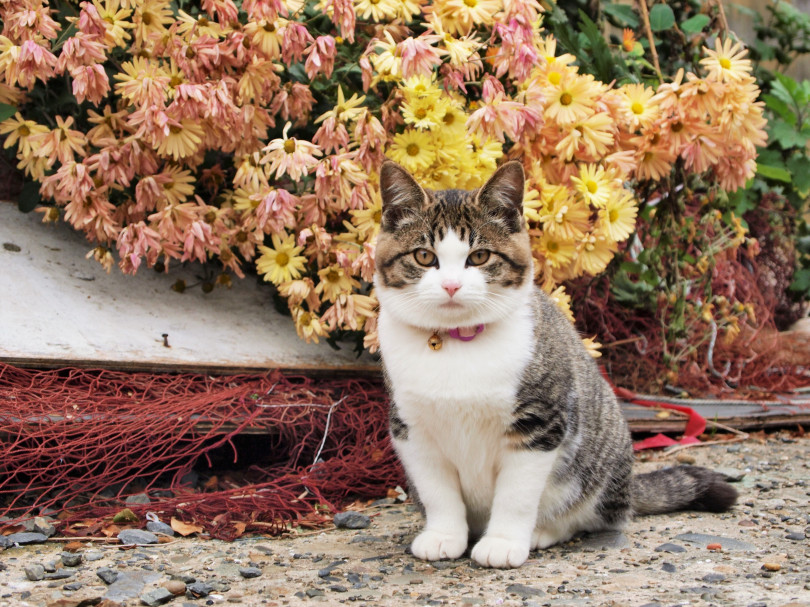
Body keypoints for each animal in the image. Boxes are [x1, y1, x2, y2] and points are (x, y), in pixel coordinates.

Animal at [372, 160, 740, 568]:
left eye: (479, 257)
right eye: (424, 256)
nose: (451, 286)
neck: (458, 342)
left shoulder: (539, 422)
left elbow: (517, 495)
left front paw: (503, 542)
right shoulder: (411, 429)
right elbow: (437, 491)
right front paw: (443, 536)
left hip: (600, 461)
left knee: (595, 516)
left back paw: (543, 531)